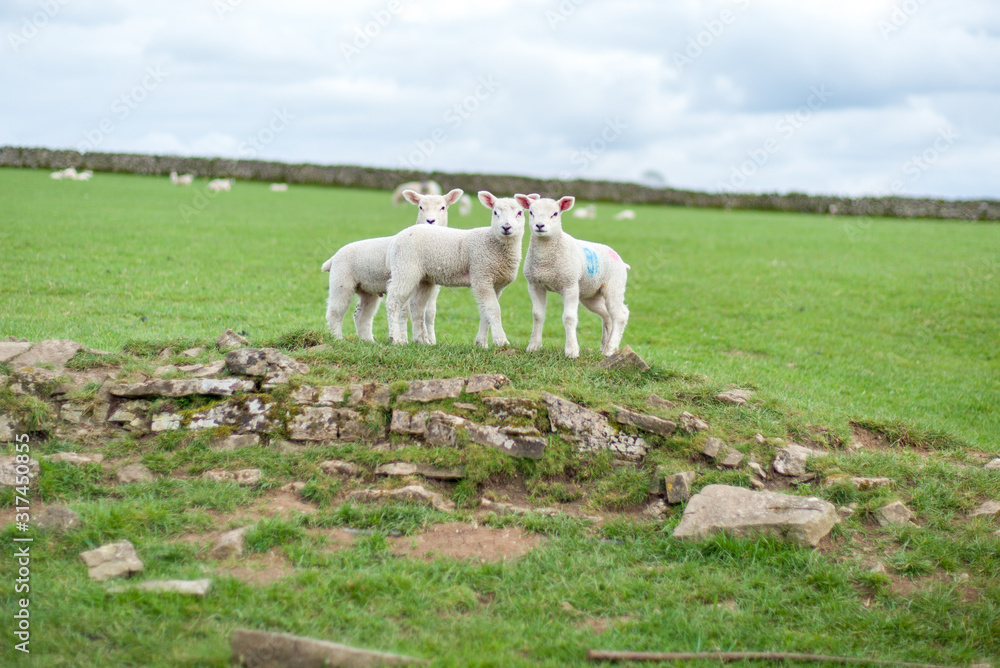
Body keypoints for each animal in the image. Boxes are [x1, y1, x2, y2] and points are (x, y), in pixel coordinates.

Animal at [322, 188, 464, 342]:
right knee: (335, 312)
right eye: (420, 207)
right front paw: (404, 340)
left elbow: (430, 313)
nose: (430, 221)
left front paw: (431, 341)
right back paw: (337, 338)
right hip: (341, 282)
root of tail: (334, 257)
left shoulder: (433, 286)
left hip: (367, 289)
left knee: (361, 315)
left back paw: (369, 342)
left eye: (443, 207)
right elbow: (404, 312)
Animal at [384, 191, 536, 348]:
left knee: (417, 306)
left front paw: (481, 343)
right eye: (495, 212)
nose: (506, 227)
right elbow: (494, 310)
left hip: (424, 278)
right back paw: (396, 338)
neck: (492, 242)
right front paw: (501, 341)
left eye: (519, 213)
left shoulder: (496, 284)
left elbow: (486, 312)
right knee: (393, 302)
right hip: (405, 268)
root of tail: (397, 238)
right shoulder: (481, 276)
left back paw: (421, 340)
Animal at [516, 195, 630, 359]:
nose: (539, 225)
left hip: (615, 286)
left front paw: (571, 351)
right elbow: (537, 315)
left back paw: (610, 349)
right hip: (591, 295)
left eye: (555, 213)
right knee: (607, 315)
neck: (545, 262)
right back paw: (605, 348)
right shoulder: (534, 285)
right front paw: (533, 347)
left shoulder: (570, 285)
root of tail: (622, 262)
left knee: (620, 315)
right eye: (531, 212)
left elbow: (569, 317)